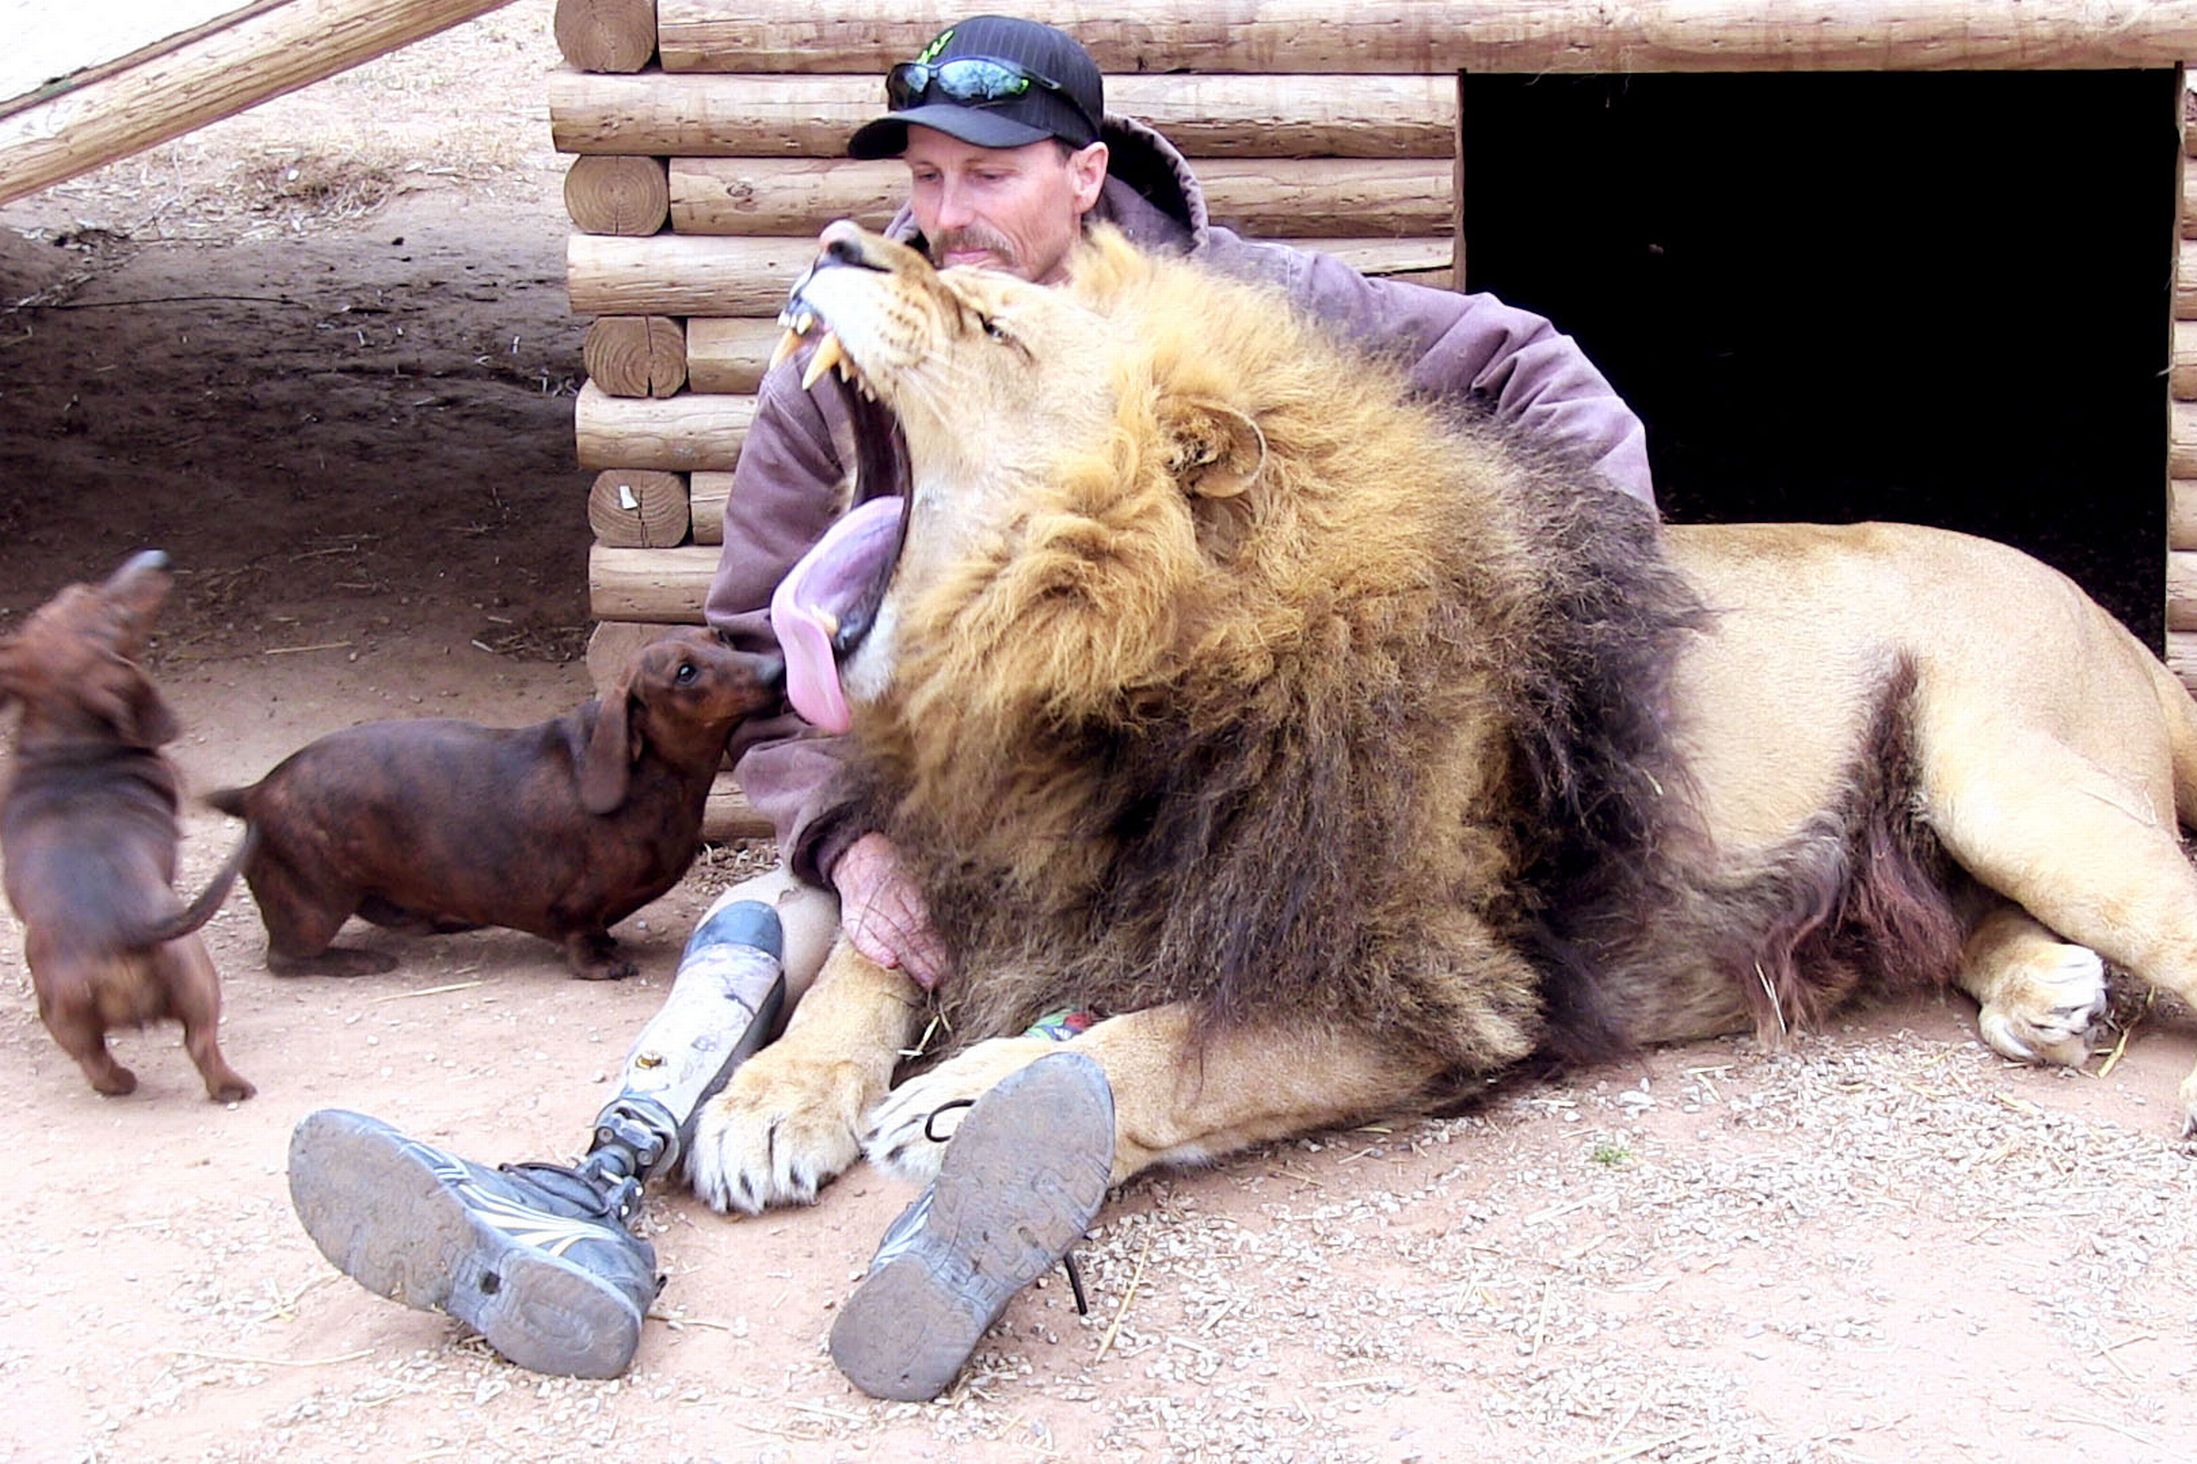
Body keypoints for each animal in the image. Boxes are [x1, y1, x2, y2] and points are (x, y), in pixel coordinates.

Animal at [685, 219, 2197, 1222]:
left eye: (993, 323)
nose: (837, 237)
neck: (1066, 692)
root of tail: (2113, 613)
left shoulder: (1435, 988)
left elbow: (1167, 1046)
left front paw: (973, 1099)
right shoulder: (982, 844)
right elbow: (866, 960)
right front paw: (773, 1097)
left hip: (2008, 780)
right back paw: (2039, 993)